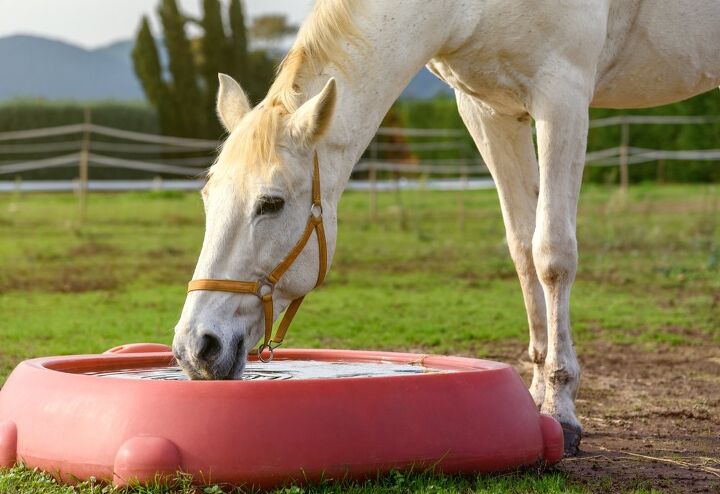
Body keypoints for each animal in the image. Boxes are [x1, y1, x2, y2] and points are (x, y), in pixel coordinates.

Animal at [174, 0, 720, 456]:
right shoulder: (490, 110)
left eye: (271, 203)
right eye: (207, 196)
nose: (195, 347)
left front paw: (562, 412)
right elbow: (523, 249)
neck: (464, 8)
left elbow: (552, 254)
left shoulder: (562, 97)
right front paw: (536, 397)